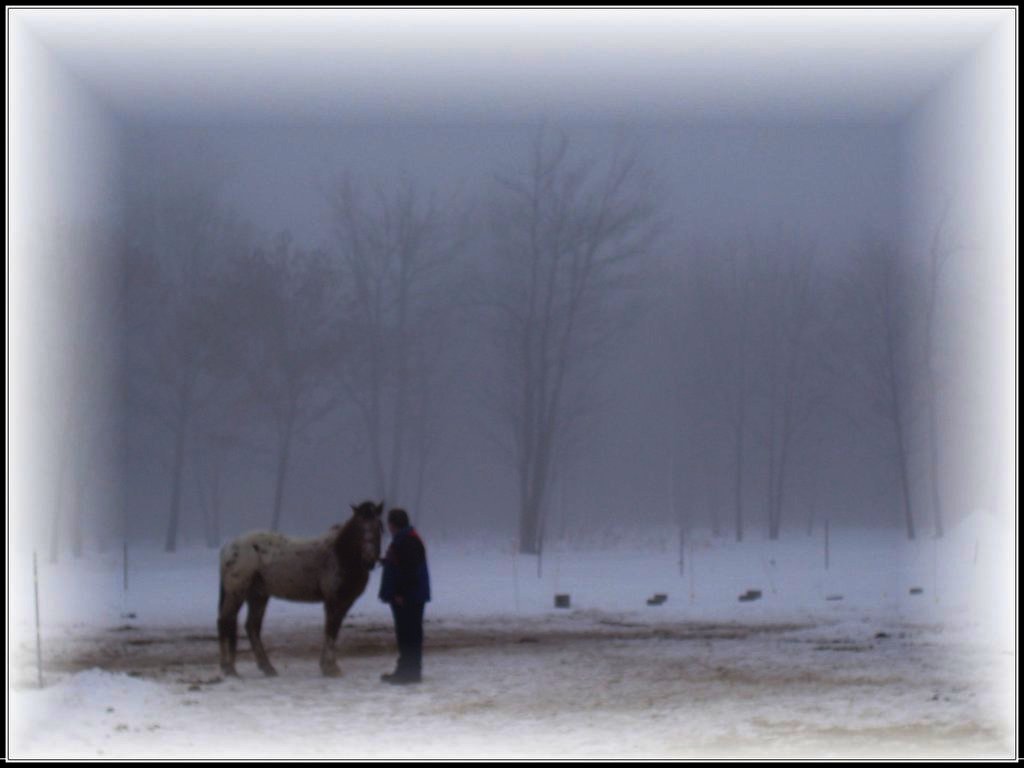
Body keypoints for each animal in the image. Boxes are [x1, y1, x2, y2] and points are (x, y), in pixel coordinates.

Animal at [217, 499, 385, 679]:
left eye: (378, 527)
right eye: (359, 527)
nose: (369, 560)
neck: (339, 554)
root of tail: (230, 546)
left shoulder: (345, 602)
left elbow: (334, 630)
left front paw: (328, 665)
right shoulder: (333, 601)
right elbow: (331, 630)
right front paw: (330, 668)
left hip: (258, 596)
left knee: (252, 627)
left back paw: (267, 668)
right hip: (236, 593)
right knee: (225, 621)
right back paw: (228, 668)